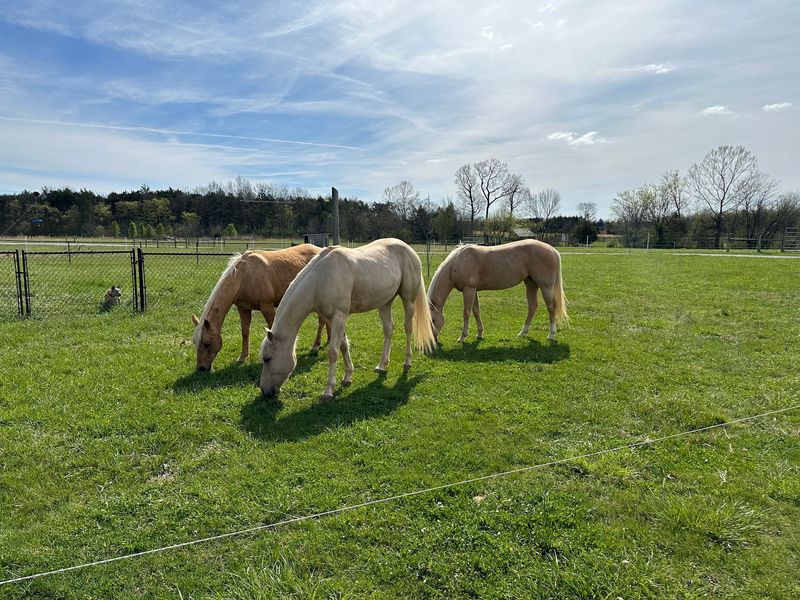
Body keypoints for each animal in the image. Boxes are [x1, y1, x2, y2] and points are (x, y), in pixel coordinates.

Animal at [191, 244, 329, 371]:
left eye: (207, 343)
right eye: (194, 342)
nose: (201, 369)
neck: (245, 276)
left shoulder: (267, 307)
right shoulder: (243, 309)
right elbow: (245, 332)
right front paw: (242, 357)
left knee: (321, 322)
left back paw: (315, 346)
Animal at [259, 238, 436, 402]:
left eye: (267, 358)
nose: (265, 391)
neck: (320, 279)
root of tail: (408, 249)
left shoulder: (339, 316)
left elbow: (333, 352)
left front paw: (328, 391)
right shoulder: (332, 319)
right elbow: (343, 346)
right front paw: (347, 378)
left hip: (408, 299)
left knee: (408, 328)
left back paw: (407, 363)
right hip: (385, 303)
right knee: (388, 330)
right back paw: (381, 365)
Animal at [427, 239, 568, 343]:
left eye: (433, 320)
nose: (433, 340)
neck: (457, 263)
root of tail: (552, 250)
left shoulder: (469, 290)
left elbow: (466, 313)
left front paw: (462, 337)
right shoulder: (473, 290)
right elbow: (476, 311)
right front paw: (479, 333)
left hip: (546, 286)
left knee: (551, 307)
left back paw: (551, 334)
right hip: (531, 283)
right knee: (533, 306)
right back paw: (522, 333)